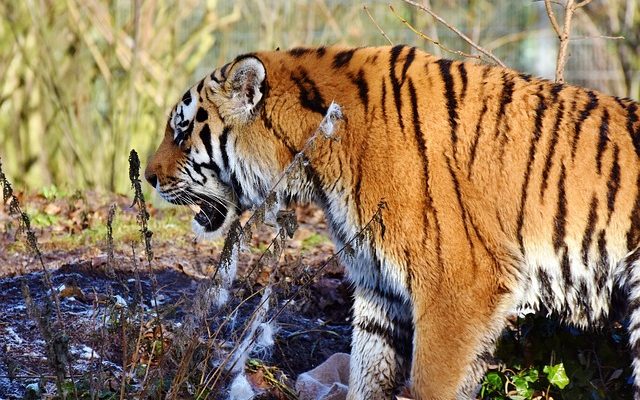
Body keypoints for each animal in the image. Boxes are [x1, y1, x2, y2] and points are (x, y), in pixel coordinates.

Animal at [145, 45, 640, 398]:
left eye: (182, 130)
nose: (147, 176)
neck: (318, 165)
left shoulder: (457, 289)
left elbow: (431, 385)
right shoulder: (378, 287)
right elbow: (366, 375)